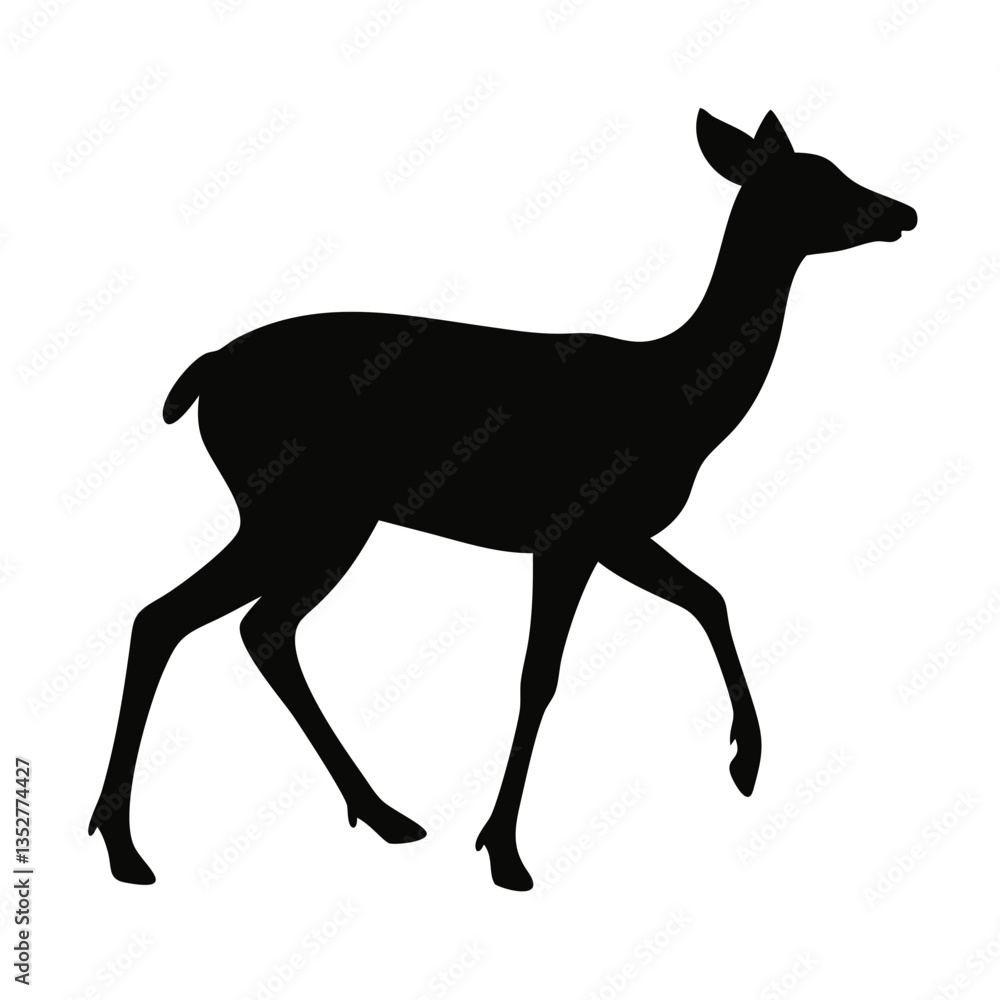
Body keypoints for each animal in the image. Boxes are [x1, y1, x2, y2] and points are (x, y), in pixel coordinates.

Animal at [88, 109, 917, 891]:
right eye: (817, 182)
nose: (903, 212)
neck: (681, 398)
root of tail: (204, 375)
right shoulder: (571, 528)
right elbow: (538, 678)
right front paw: (504, 851)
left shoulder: (615, 534)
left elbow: (707, 597)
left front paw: (746, 762)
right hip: (297, 505)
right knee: (173, 617)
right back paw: (126, 846)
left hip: (322, 517)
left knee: (255, 627)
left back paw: (380, 815)